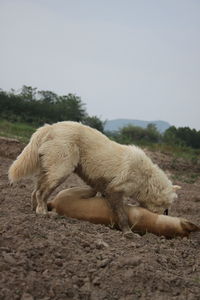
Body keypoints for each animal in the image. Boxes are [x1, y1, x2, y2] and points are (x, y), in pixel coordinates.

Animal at [8, 121, 179, 237]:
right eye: (167, 207)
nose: (165, 216)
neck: (146, 179)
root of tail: (50, 127)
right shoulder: (115, 190)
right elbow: (123, 215)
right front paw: (128, 233)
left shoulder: (106, 188)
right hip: (61, 170)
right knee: (41, 192)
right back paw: (43, 212)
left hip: (49, 169)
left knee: (35, 190)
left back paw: (34, 210)